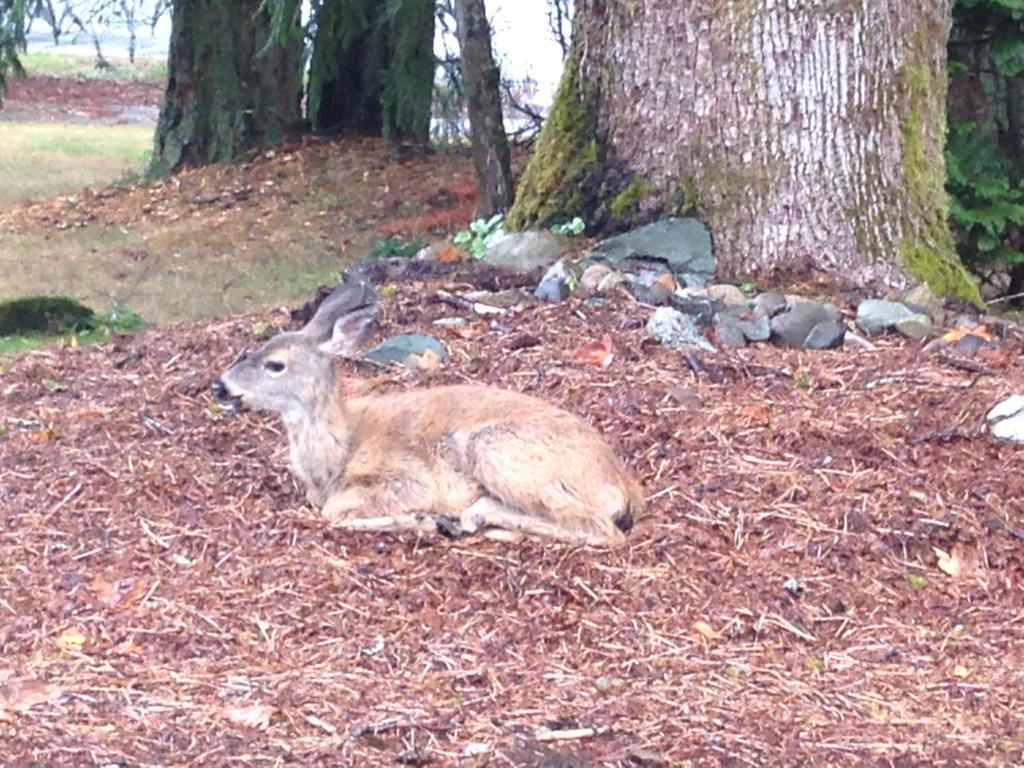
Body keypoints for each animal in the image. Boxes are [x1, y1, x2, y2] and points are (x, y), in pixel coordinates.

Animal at [210, 272, 643, 548]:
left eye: (275, 364)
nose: (220, 386)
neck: (336, 456)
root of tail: (625, 485)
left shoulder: (406, 477)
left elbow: (334, 511)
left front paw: (421, 520)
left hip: (497, 448)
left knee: (603, 529)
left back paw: (465, 517)